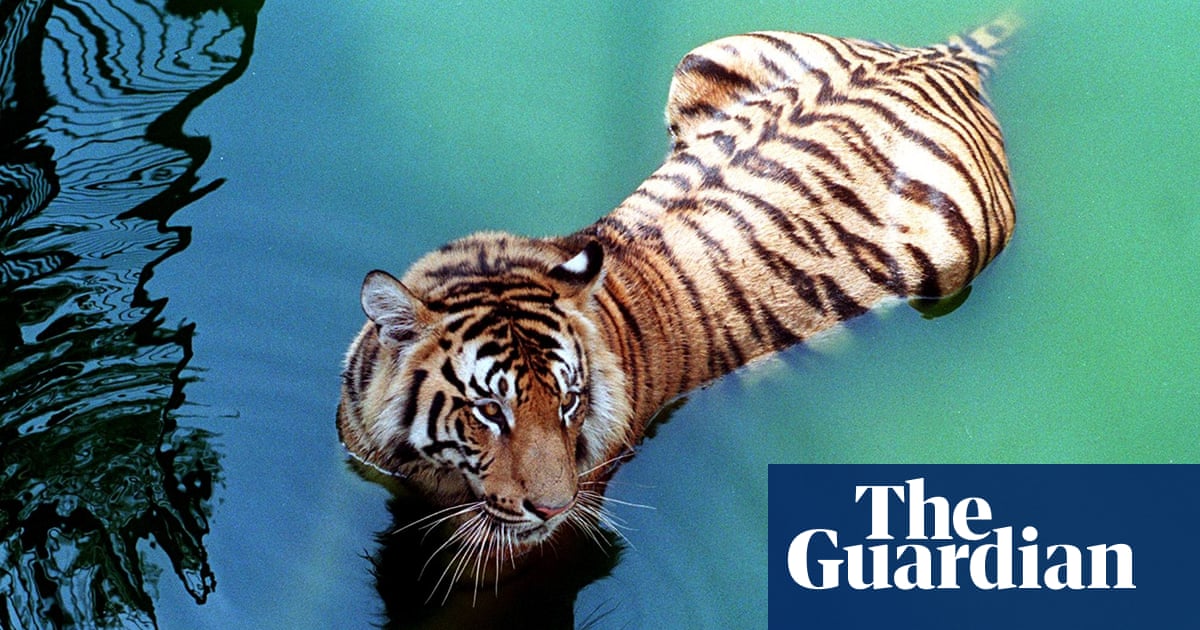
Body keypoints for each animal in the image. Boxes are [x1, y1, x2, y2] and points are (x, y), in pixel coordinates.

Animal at [338, 16, 1018, 582]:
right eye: (486, 410)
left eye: (570, 401)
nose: (553, 506)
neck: (428, 468)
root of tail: (946, 56)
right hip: (709, 54)